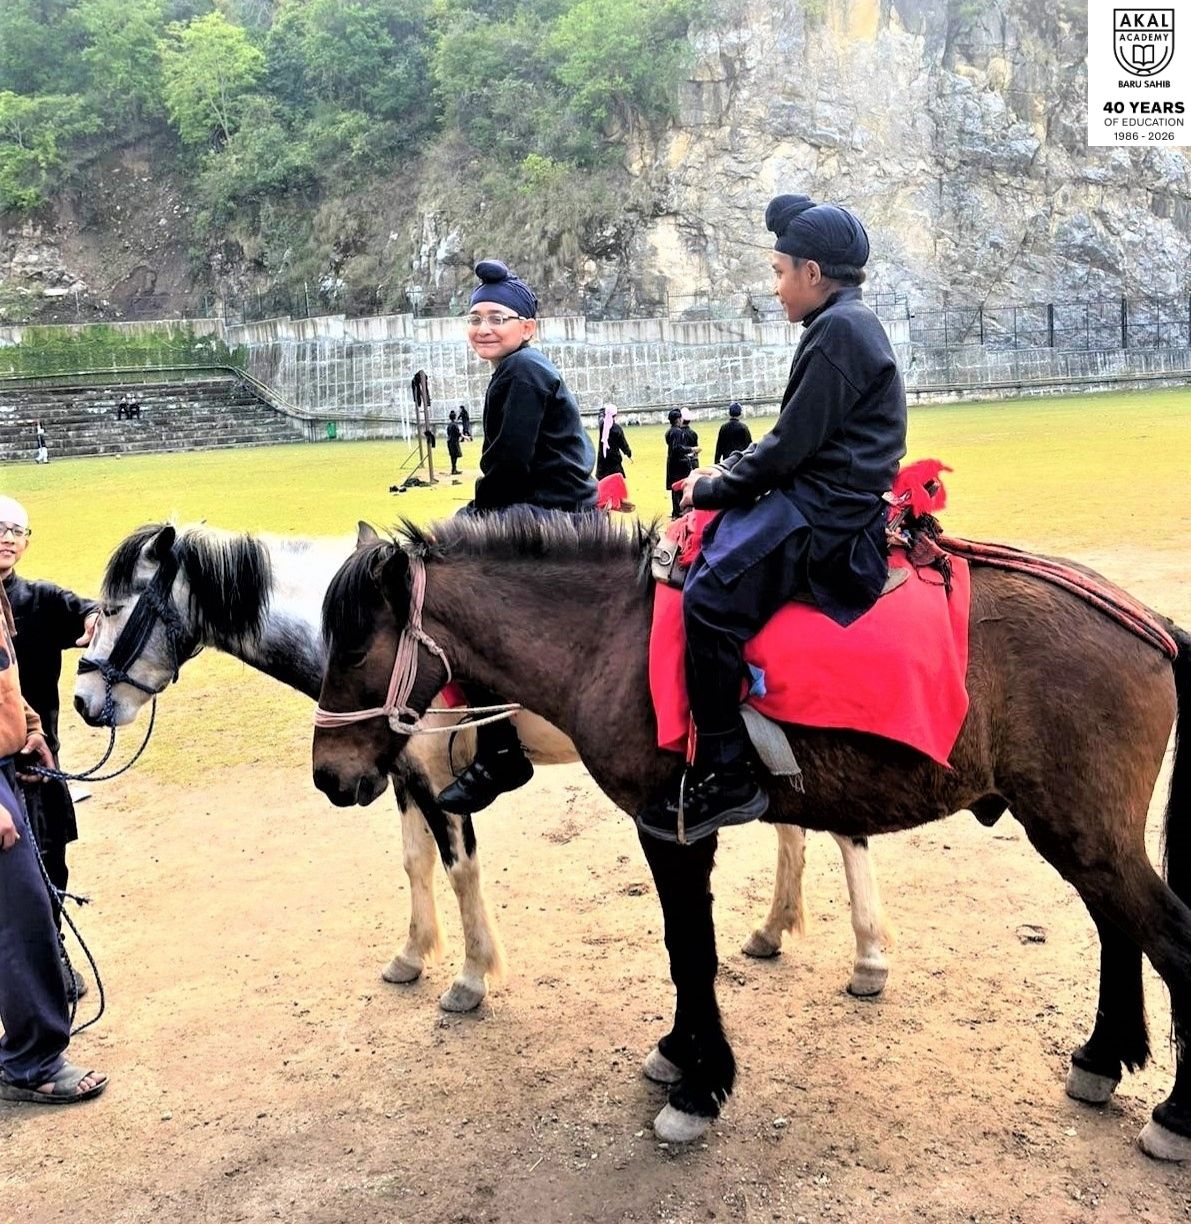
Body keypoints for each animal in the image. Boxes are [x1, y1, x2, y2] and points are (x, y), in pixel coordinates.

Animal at [73, 521, 894, 1010]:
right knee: (793, 828)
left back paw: (868, 959)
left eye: (112, 608)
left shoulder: (441, 780)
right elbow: (414, 863)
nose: (81, 700)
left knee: (844, 834)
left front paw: (469, 976)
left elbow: (460, 866)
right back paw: (773, 928)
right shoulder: (400, 779)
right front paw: (412, 954)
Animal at [310, 508, 1191, 1158]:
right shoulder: (662, 827)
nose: (327, 774)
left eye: (352, 647)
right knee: (1117, 927)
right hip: (1079, 829)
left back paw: (1174, 1116)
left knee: (1170, 939)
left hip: (1082, 830)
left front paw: (699, 1087)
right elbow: (682, 948)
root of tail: (1146, 622)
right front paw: (679, 1054)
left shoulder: (673, 826)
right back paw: (1101, 1057)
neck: (612, 639)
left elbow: (689, 951)